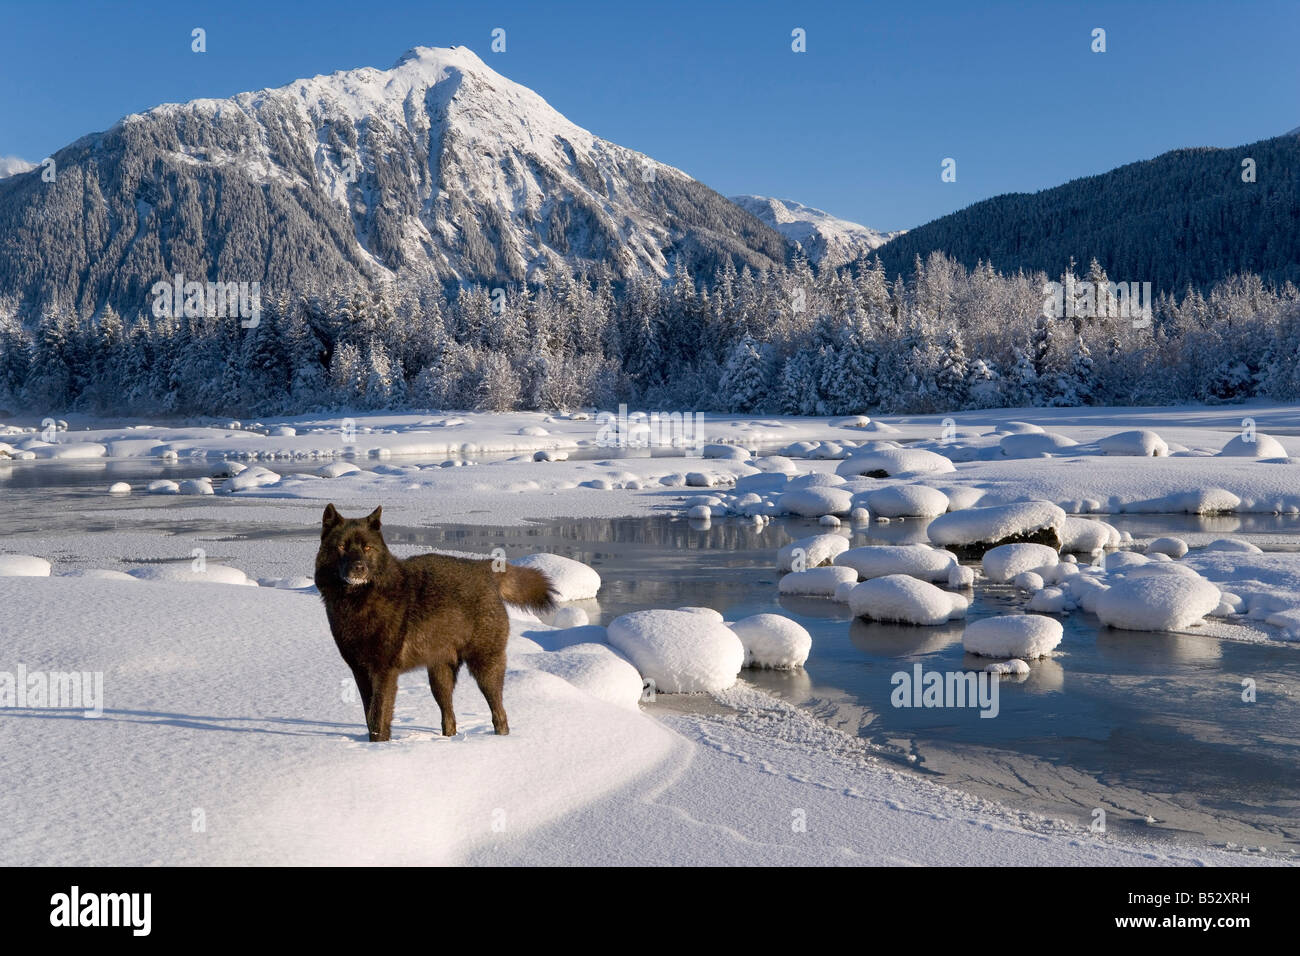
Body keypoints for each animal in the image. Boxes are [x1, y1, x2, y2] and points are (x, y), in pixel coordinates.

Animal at [314, 504, 553, 741]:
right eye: (342, 546)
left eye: (367, 548)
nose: (358, 568)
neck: (358, 601)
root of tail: (484, 568)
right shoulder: (360, 672)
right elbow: (368, 715)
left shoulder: (384, 672)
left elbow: (378, 717)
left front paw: (379, 746)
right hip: (439, 677)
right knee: (449, 716)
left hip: (484, 668)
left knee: (499, 713)